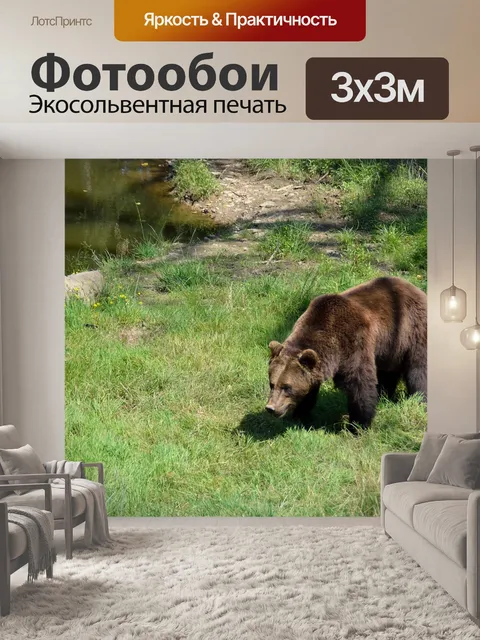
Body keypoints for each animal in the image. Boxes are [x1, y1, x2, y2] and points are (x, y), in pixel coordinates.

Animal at [266, 276, 427, 429]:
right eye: (272, 384)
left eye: (287, 387)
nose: (270, 408)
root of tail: (416, 288)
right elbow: (310, 388)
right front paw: (300, 415)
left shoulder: (354, 343)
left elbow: (359, 384)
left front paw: (358, 424)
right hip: (390, 347)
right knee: (388, 372)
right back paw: (384, 395)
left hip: (411, 330)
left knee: (418, 370)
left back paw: (420, 399)